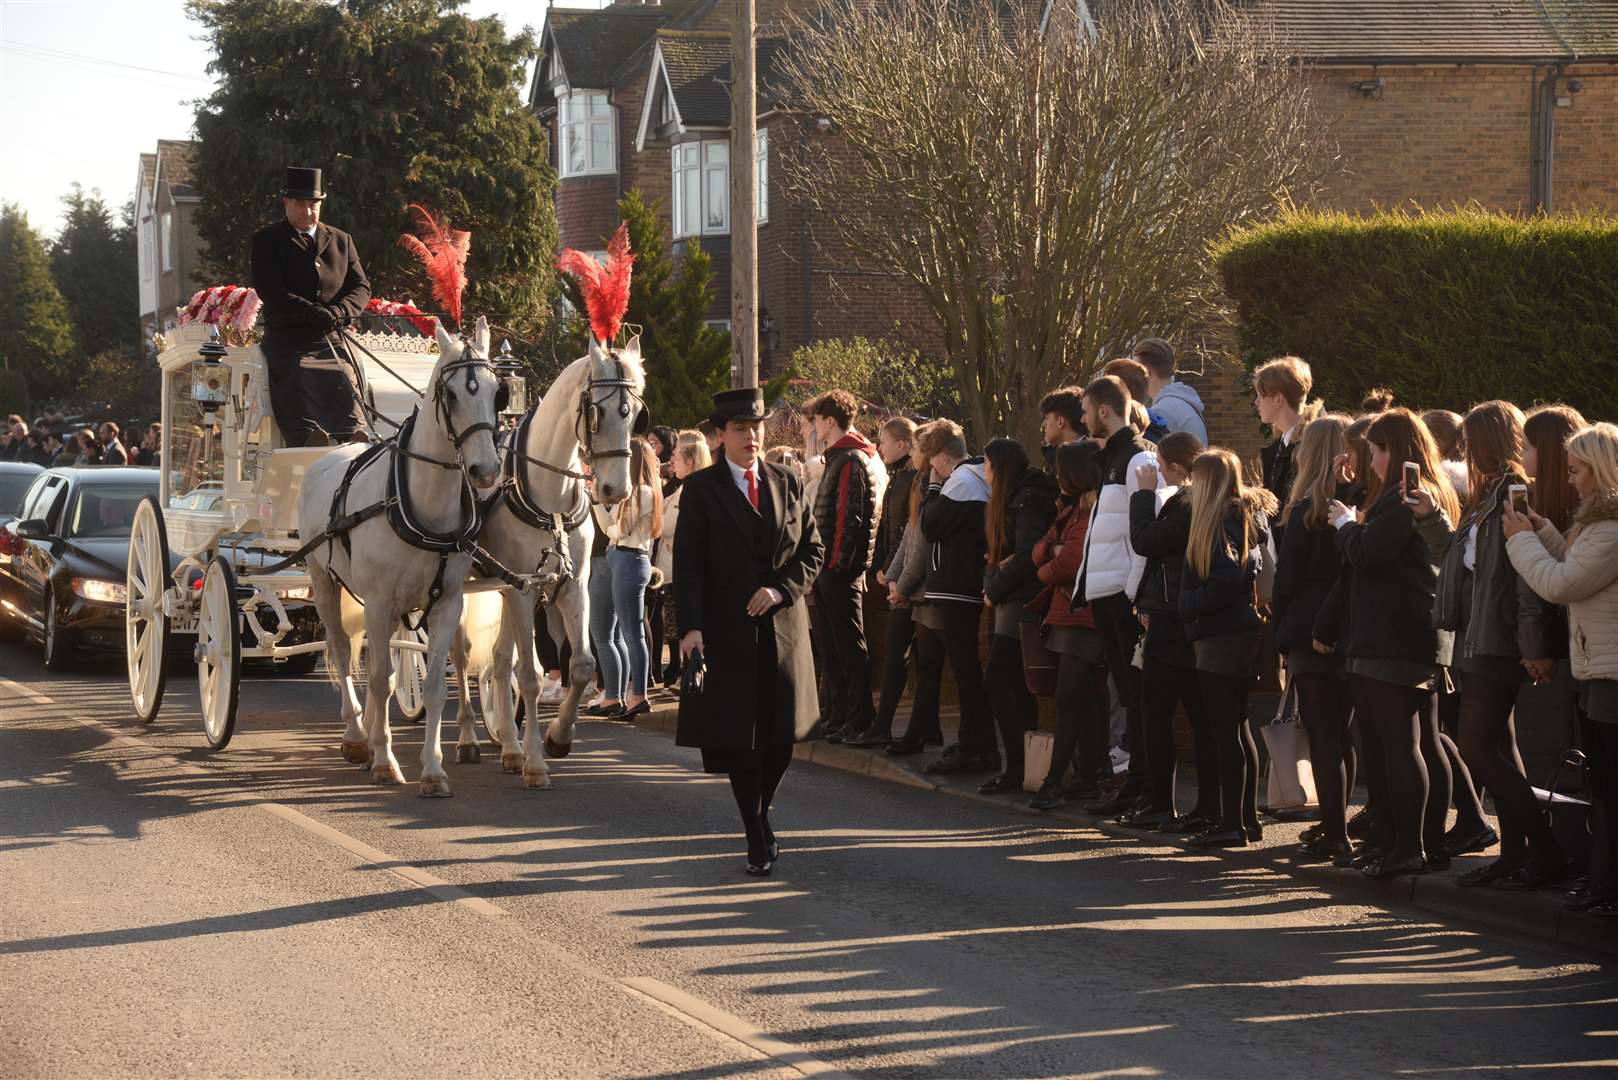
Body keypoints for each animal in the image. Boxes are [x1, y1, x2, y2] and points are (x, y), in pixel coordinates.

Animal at [300, 314, 501, 793]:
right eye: (451, 394)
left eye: (495, 389)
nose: (486, 471)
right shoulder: (376, 600)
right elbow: (376, 678)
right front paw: (384, 760)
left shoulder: (446, 602)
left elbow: (432, 687)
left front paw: (432, 768)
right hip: (324, 581)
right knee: (342, 650)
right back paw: (358, 736)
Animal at [462, 333, 643, 790]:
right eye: (596, 413)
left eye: (635, 414)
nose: (615, 490)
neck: (549, 498)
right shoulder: (522, 590)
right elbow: (530, 674)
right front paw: (536, 762)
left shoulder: (573, 586)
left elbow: (581, 664)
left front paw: (557, 738)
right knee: (459, 656)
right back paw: (468, 741)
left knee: (498, 661)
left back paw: (508, 746)